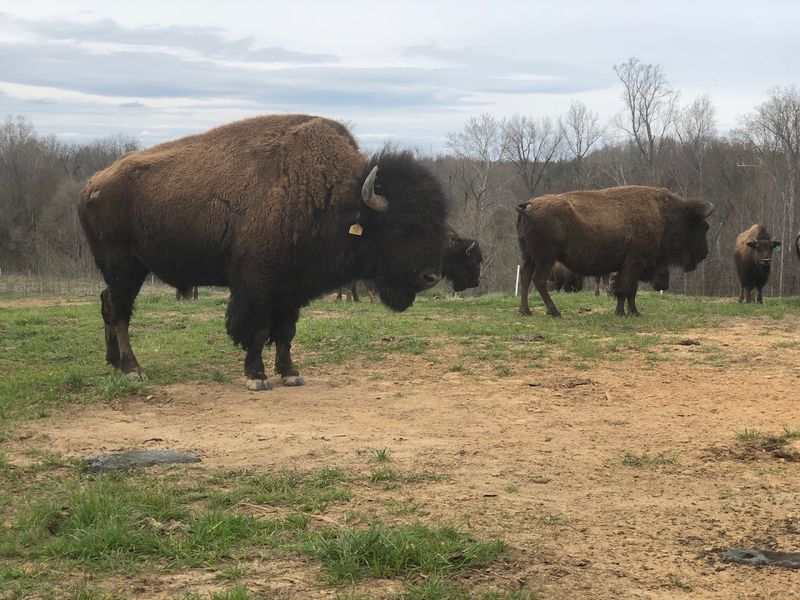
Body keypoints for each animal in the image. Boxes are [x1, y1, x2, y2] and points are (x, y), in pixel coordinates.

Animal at [79, 114, 449, 390]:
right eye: (403, 226)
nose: (432, 275)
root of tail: (91, 184)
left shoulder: (291, 287)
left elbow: (285, 332)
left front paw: (291, 374)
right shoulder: (257, 283)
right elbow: (256, 329)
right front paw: (256, 377)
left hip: (127, 269)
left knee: (107, 304)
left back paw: (114, 363)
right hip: (123, 266)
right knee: (120, 312)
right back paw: (133, 369)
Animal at [516, 186, 713, 317]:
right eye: (704, 227)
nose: (705, 253)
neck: (664, 215)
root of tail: (529, 205)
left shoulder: (630, 266)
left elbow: (630, 290)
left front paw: (634, 312)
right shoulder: (634, 263)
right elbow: (625, 288)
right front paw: (621, 313)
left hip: (529, 256)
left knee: (525, 277)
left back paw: (526, 311)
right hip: (546, 258)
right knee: (538, 280)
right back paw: (554, 312)